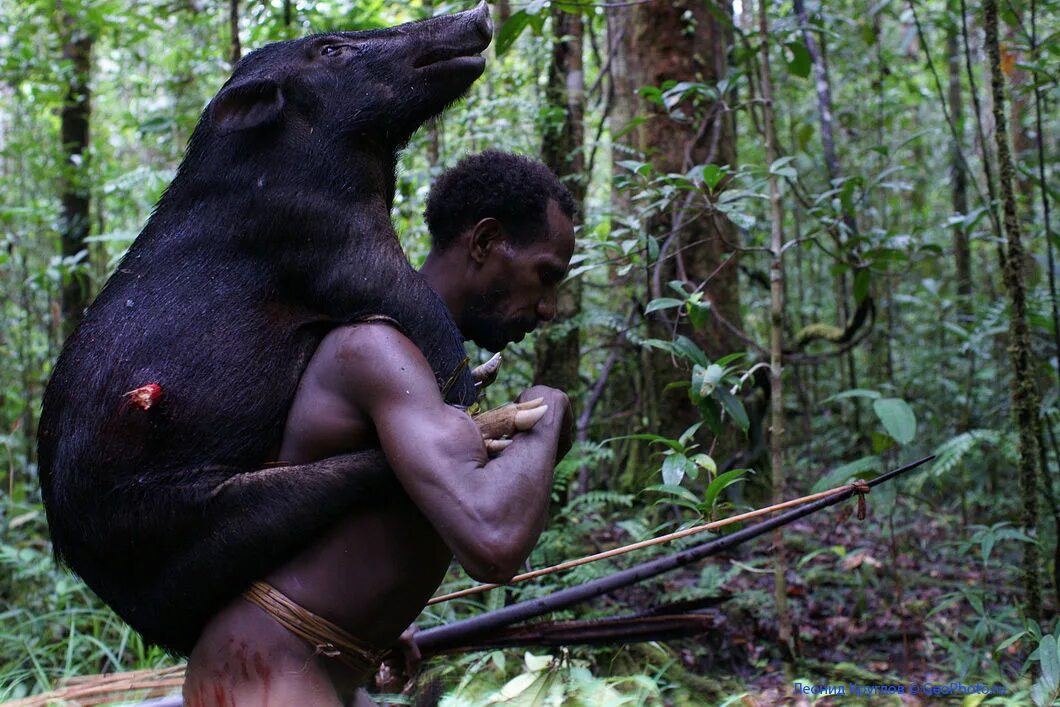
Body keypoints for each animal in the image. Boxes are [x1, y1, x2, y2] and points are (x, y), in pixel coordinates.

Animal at [36, 4, 491, 657]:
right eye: (331, 49)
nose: (478, 11)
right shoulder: (322, 234)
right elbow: (417, 310)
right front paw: (472, 386)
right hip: (191, 516)